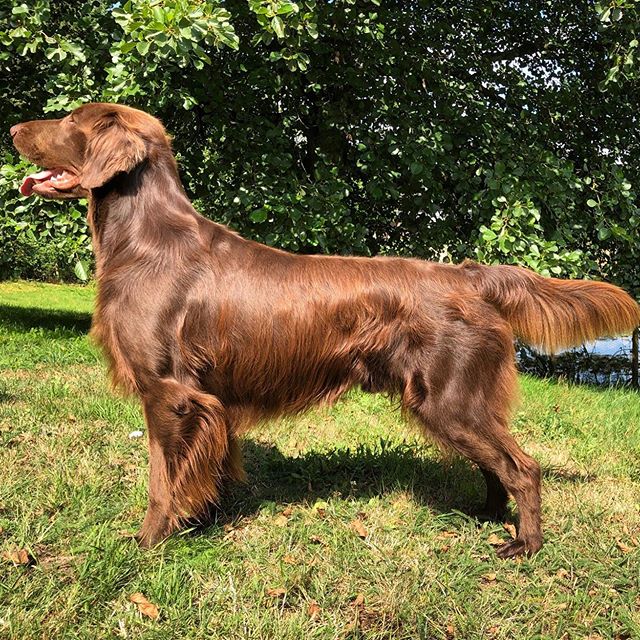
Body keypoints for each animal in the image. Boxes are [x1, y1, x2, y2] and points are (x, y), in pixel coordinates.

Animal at [10, 104, 640, 556]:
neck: (146, 241)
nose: (14, 128)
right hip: (456, 401)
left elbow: (162, 478)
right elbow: (206, 467)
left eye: (70, 120)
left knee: (523, 466)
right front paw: (204, 519)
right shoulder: (207, 398)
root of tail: (467, 273)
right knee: (497, 463)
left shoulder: (169, 391)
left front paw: (148, 541)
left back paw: (524, 544)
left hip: (450, 398)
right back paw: (484, 515)